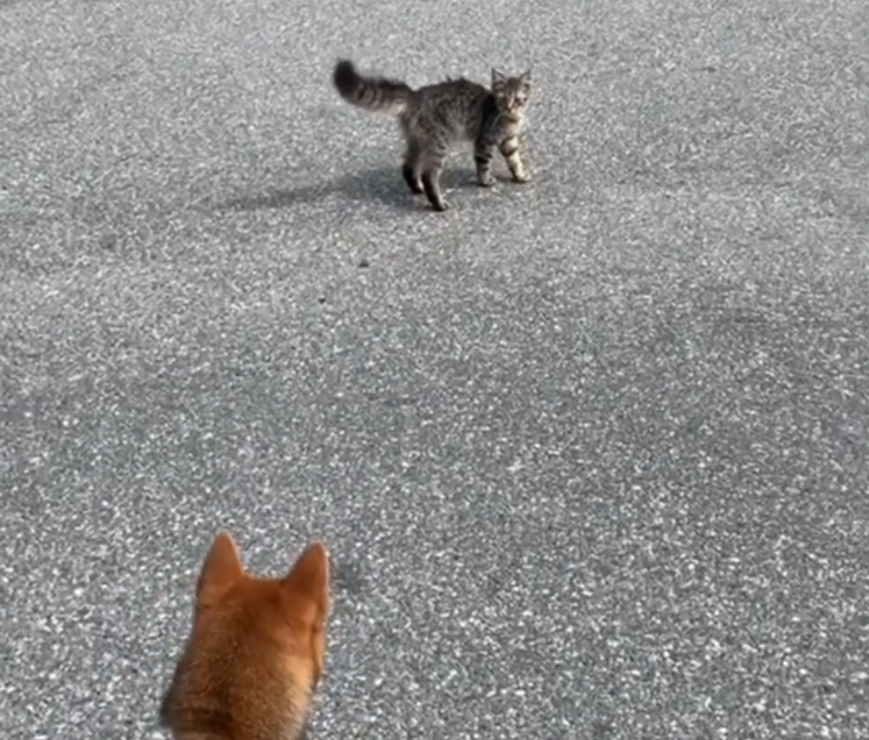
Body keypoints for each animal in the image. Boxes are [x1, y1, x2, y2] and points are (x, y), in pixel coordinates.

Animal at [332, 59, 532, 211]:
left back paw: (417, 188)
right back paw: (438, 203)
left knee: (408, 165)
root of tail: (415, 95)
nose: (510, 107)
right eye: (503, 99)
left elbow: (514, 159)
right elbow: (483, 164)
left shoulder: (509, 141)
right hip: (438, 143)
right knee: (429, 175)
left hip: (419, 141)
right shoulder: (485, 140)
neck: (510, 119)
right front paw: (485, 181)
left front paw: (520, 175)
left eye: (518, 100)